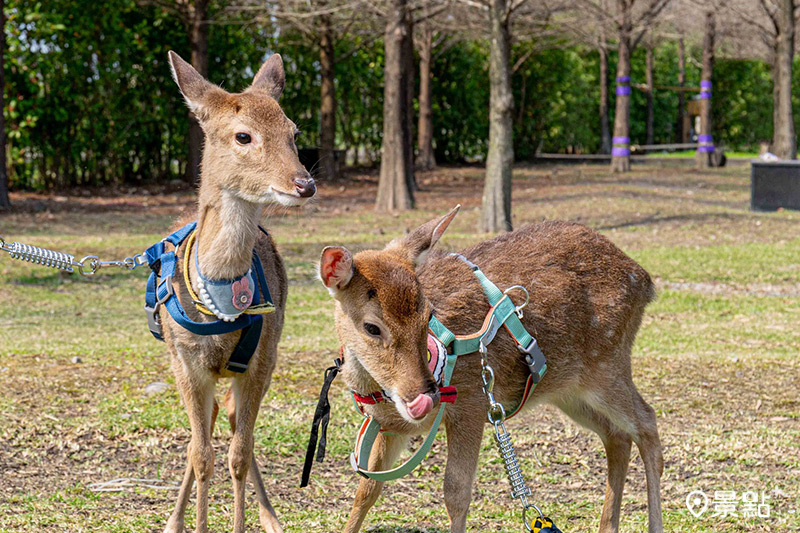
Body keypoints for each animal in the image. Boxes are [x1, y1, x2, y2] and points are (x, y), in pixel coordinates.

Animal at [157, 51, 316, 532]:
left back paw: (272, 517)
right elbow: (201, 455)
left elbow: (239, 455)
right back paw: (173, 521)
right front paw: (193, 524)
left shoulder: (262, 357)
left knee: (229, 420)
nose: (304, 183)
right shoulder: (186, 361)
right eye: (243, 135)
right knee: (206, 428)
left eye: (293, 132)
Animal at [318, 206, 664, 532]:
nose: (424, 395)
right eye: (372, 327)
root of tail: (646, 281)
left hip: (608, 364)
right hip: (567, 390)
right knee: (617, 435)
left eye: (428, 314)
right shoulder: (388, 425)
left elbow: (456, 492)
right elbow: (367, 490)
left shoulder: (472, 400)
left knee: (647, 422)